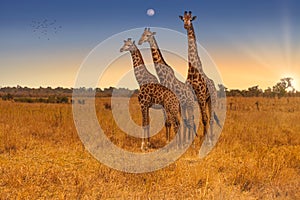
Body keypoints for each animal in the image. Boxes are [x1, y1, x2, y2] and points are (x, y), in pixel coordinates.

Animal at [179, 11, 221, 142]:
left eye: (191, 19)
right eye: (183, 19)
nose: (186, 25)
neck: (192, 70)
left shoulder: (201, 96)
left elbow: (204, 118)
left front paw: (204, 139)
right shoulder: (191, 97)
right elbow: (190, 119)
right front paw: (190, 139)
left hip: (211, 99)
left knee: (210, 118)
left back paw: (210, 138)